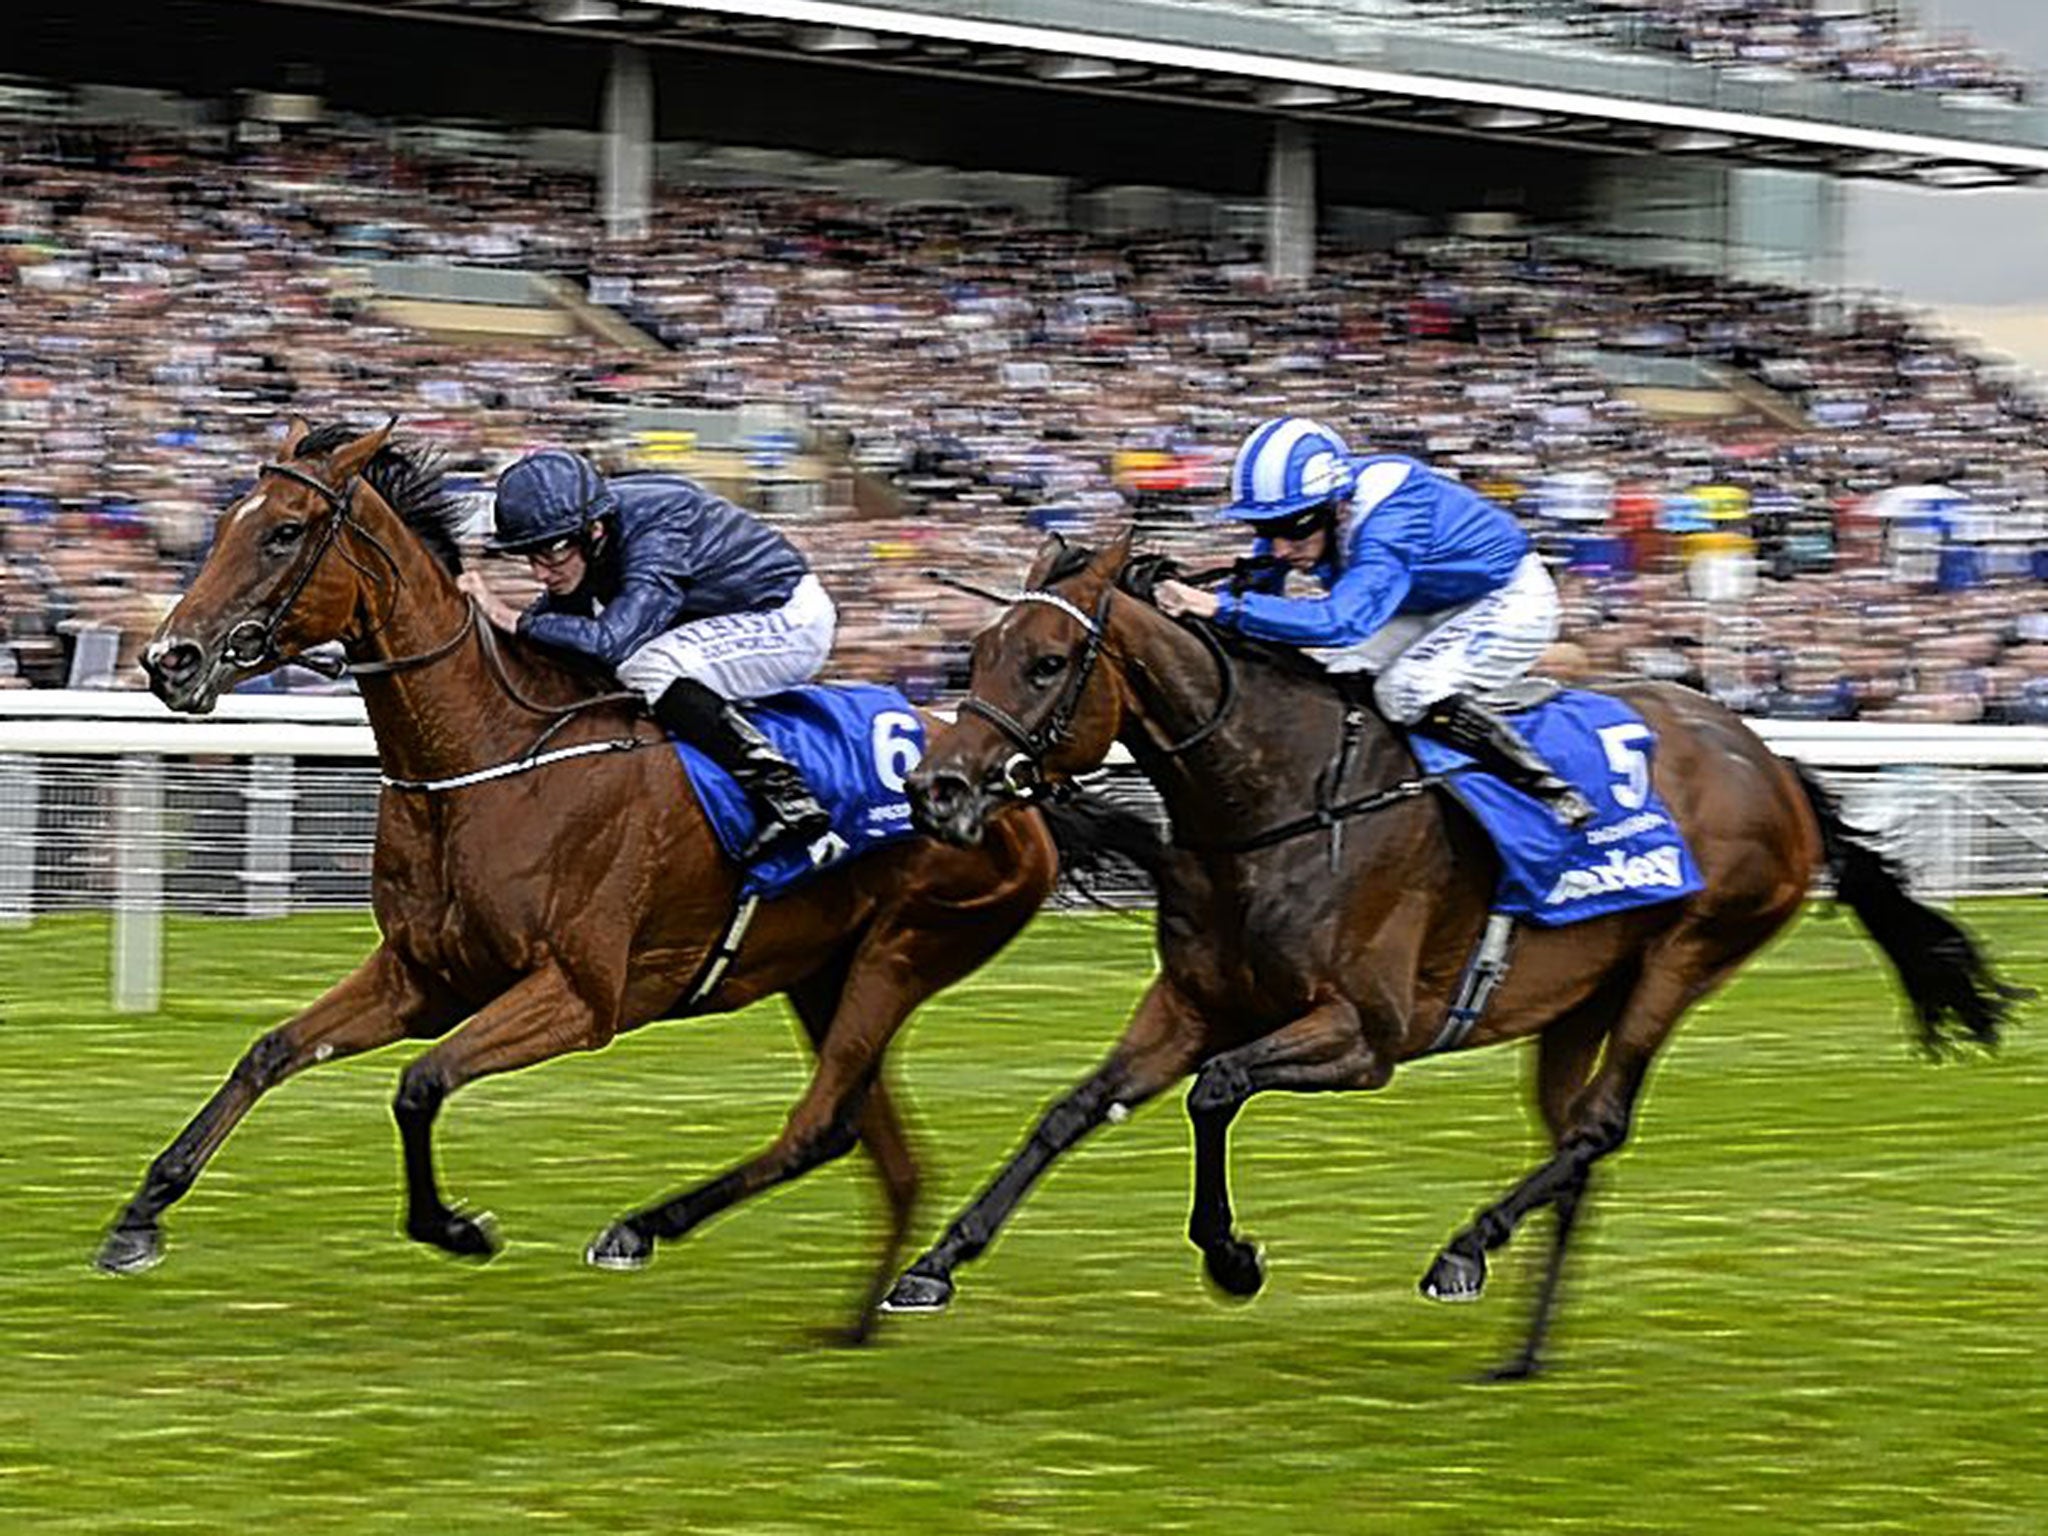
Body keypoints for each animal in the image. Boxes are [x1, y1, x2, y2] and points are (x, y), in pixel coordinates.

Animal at [105, 421, 1114, 1343]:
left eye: (283, 532)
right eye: (224, 523)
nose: (170, 660)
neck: (488, 757)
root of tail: (1016, 790)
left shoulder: (581, 995)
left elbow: (420, 1084)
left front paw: (456, 1227)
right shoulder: (423, 977)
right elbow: (271, 1051)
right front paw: (137, 1217)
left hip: (903, 954)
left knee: (825, 1125)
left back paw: (647, 1231)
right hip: (826, 973)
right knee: (882, 1154)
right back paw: (854, 1324)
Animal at [884, 532, 2015, 1384]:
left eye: (1043, 663)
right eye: (974, 652)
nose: (936, 789)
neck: (1278, 802)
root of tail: (1770, 759)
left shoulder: (1364, 1037)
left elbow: (1215, 1091)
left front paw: (1233, 1259)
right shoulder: (1193, 1002)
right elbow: (1073, 1109)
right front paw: (934, 1265)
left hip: (1685, 955)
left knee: (1598, 1127)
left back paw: (1463, 1253)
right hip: (1580, 999)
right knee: (1577, 1145)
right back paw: (1522, 1351)